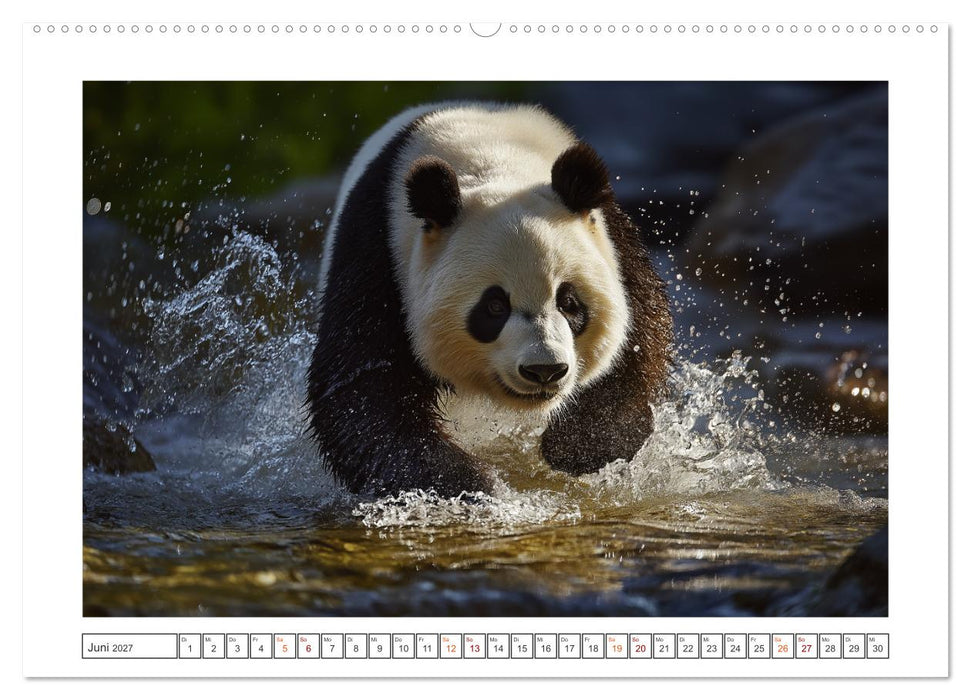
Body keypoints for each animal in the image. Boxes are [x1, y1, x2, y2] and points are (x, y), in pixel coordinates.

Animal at [307, 102, 673, 496]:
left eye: (569, 303)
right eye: (495, 307)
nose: (544, 370)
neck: (494, 157)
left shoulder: (612, 241)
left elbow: (637, 342)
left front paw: (580, 446)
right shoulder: (379, 253)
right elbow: (362, 384)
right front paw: (470, 481)